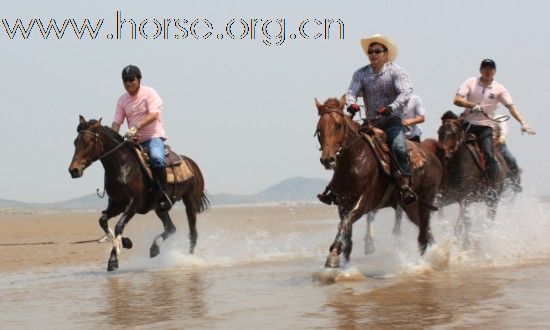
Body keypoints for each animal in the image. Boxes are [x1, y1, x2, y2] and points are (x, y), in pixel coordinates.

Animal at [67, 116, 209, 270]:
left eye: (87, 141)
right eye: (75, 142)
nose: (73, 170)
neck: (122, 166)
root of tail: (192, 164)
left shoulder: (133, 204)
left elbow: (119, 225)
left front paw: (113, 259)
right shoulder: (117, 205)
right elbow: (103, 221)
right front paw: (124, 243)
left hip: (190, 202)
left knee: (193, 233)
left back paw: (189, 259)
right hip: (159, 208)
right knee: (171, 227)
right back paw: (154, 248)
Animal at [314, 96, 444, 266]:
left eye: (339, 125)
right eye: (319, 129)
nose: (327, 160)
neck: (354, 162)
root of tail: (433, 157)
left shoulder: (363, 202)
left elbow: (346, 222)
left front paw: (333, 256)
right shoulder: (343, 204)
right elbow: (347, 236)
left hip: (426, 200)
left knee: (423, 234)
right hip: (410, 206)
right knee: (426, 231)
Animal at [438, 111, 512, 245]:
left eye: (455, 133)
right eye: (439, 132)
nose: (443, 155)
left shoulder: (465, 199)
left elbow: (460, 225)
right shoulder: (443, 198)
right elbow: (444, 220)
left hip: (493, 201)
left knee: (489, 220)